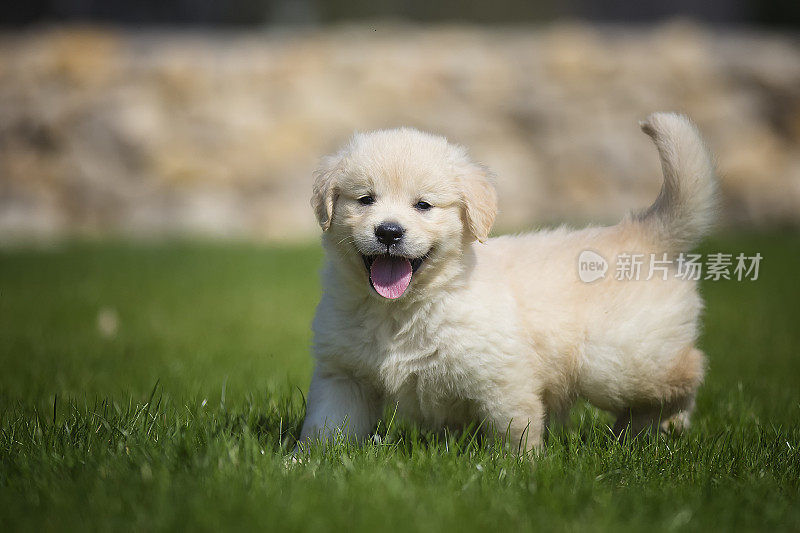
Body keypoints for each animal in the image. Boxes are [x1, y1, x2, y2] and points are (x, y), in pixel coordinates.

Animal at [296, 111, 716, 448]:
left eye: (423, 205)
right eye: (365, 199)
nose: (388, 231)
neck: (401, 309)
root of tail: (643, 232)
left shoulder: (502, 376)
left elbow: (514, 427)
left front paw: (520, 468)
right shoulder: (344, 375)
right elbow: (326, 427)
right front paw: (305, 464)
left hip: (618, 361)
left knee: (689, 370)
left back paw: (669, 424)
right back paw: (639, 435)